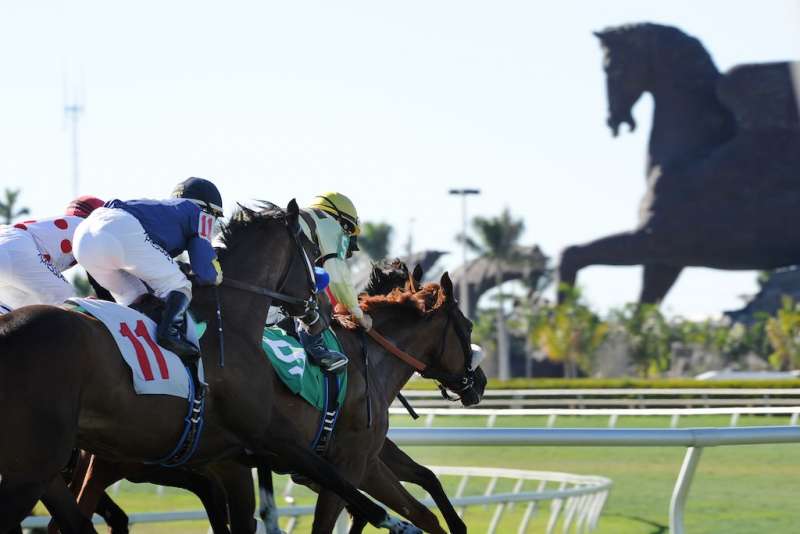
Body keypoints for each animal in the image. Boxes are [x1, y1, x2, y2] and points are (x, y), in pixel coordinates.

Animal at [560, 23, 800, 306]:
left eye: (611, 67)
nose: (613, 119)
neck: (686, 156)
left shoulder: (651, 241)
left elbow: (572, 254)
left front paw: (560, 312)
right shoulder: (664, 262)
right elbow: (642, 308)